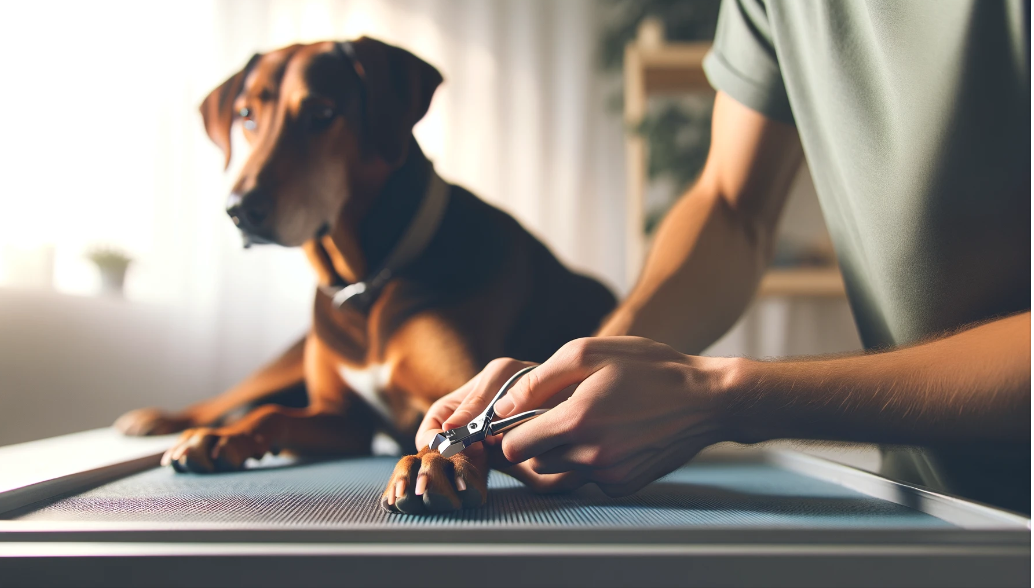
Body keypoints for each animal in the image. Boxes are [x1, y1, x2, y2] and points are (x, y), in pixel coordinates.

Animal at [115, 37, 612, 512]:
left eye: (321, 113)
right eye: (246, 116)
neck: (367, 285)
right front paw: (225, 438)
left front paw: (435, 461)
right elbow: (272, 413)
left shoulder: (459, 388)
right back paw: (168, 420)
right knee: (234, 398)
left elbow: (460, 424)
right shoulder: (344, 418)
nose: (240, 210)